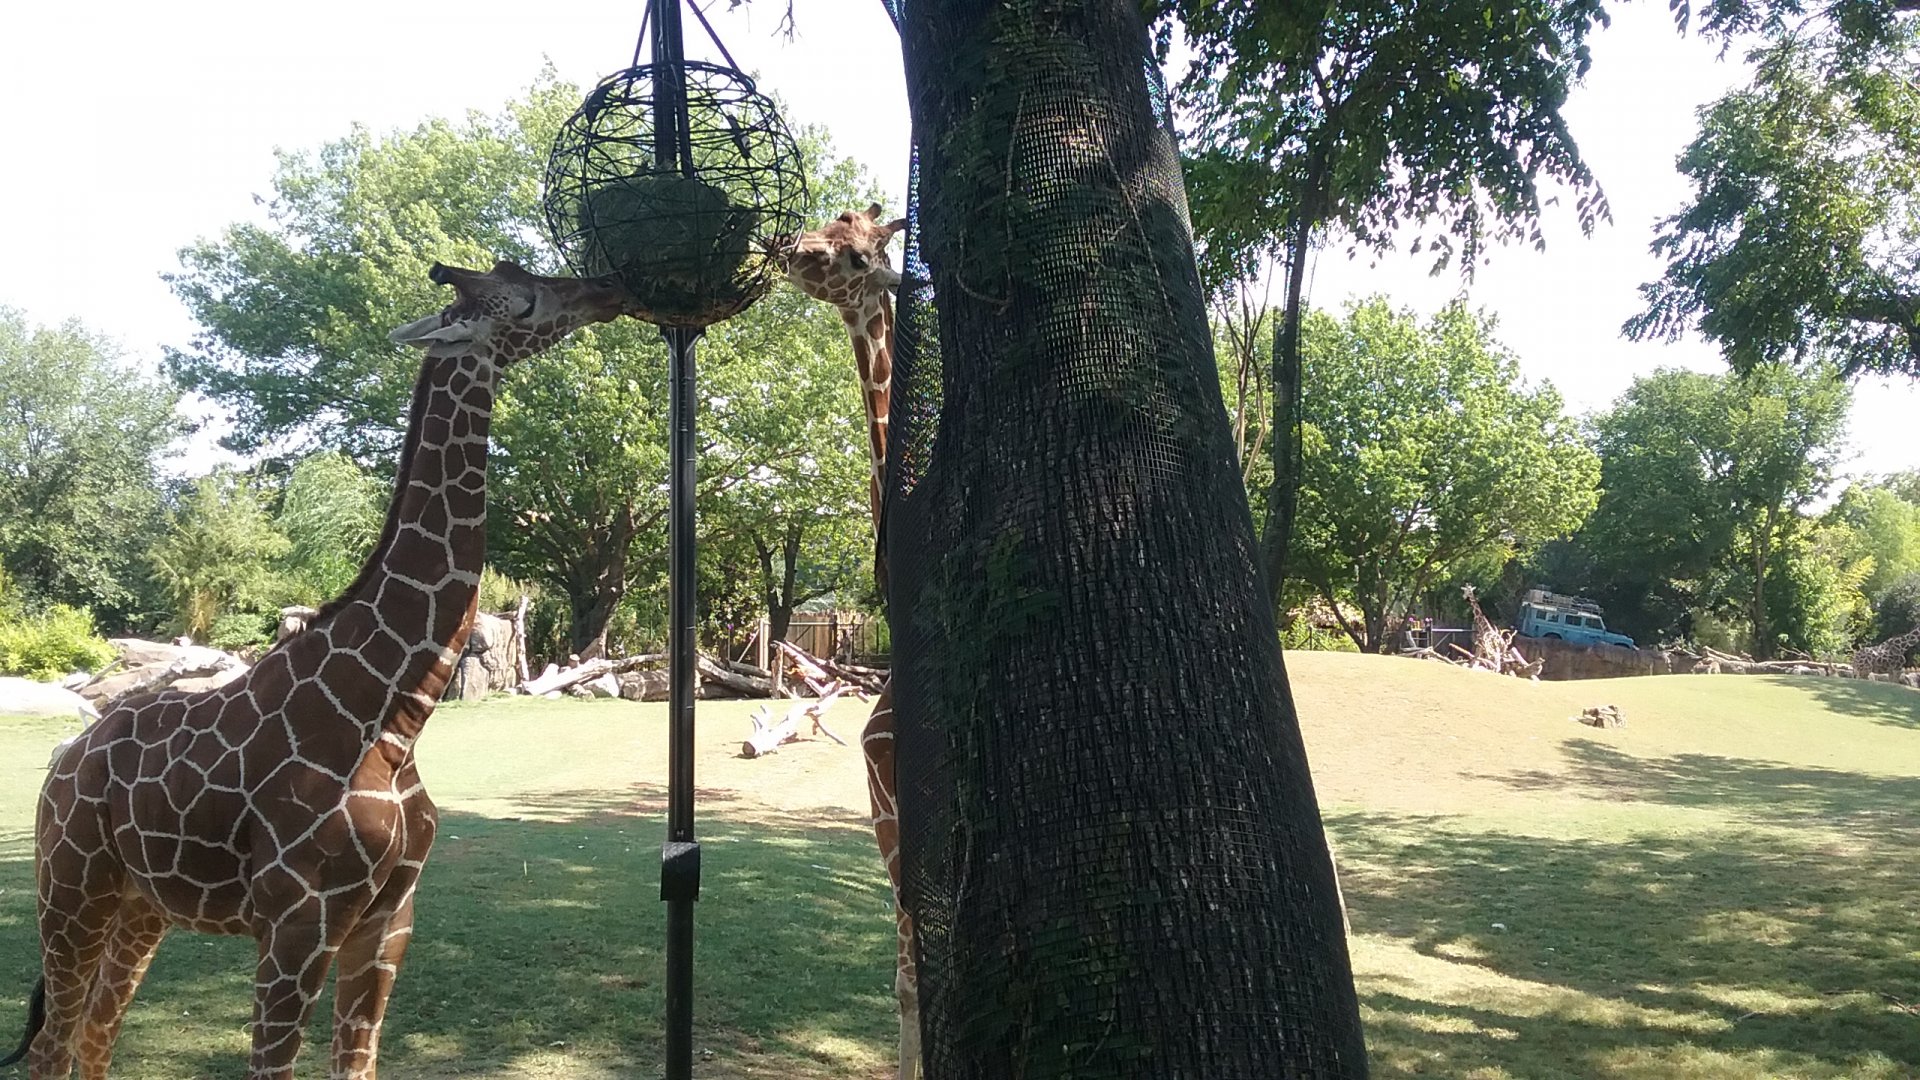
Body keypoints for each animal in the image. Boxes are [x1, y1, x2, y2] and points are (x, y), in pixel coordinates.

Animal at [0, 260, 631, 1080]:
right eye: (522, 297)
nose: (604, 290)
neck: (395, 717)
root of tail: (63, 758)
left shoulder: (389, 919)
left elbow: (356, 1062)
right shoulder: (299, 923)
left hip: (144, 905)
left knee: (93, 1038)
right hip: (72, 887)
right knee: (52, 1044)